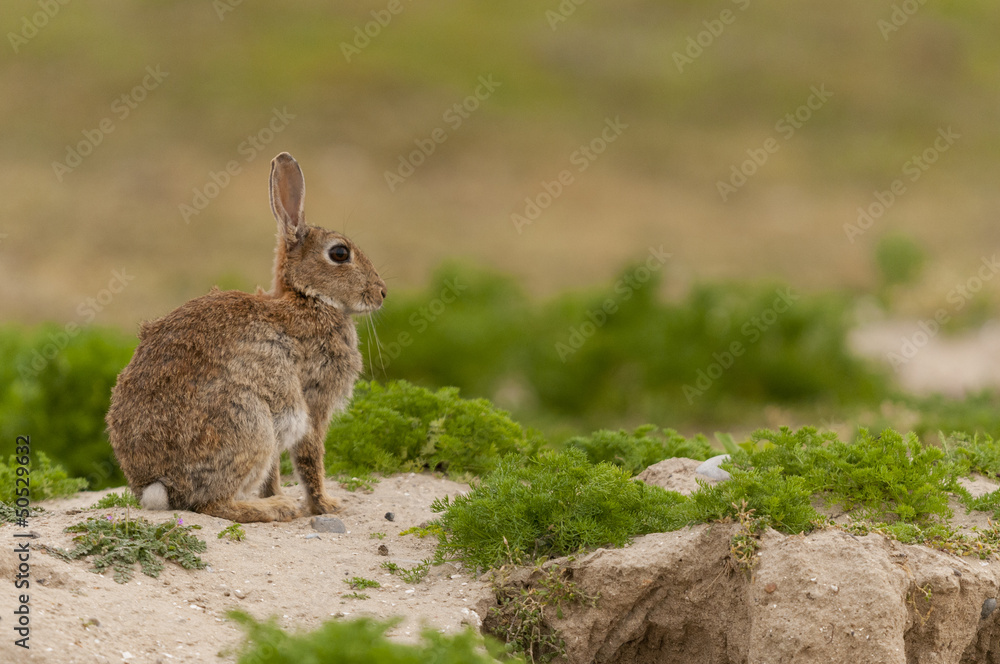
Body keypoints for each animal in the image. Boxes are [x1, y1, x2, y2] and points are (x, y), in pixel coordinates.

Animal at [106, 152, 386, 523]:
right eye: (340, 253)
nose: (382, 293)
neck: (308, 297)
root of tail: (158, 486)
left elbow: (275, 472)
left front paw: (282, 494)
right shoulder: (313, 401)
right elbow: (310, 457)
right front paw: (325, 505)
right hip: (248, 421)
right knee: (212, 504)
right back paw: (275, 508)